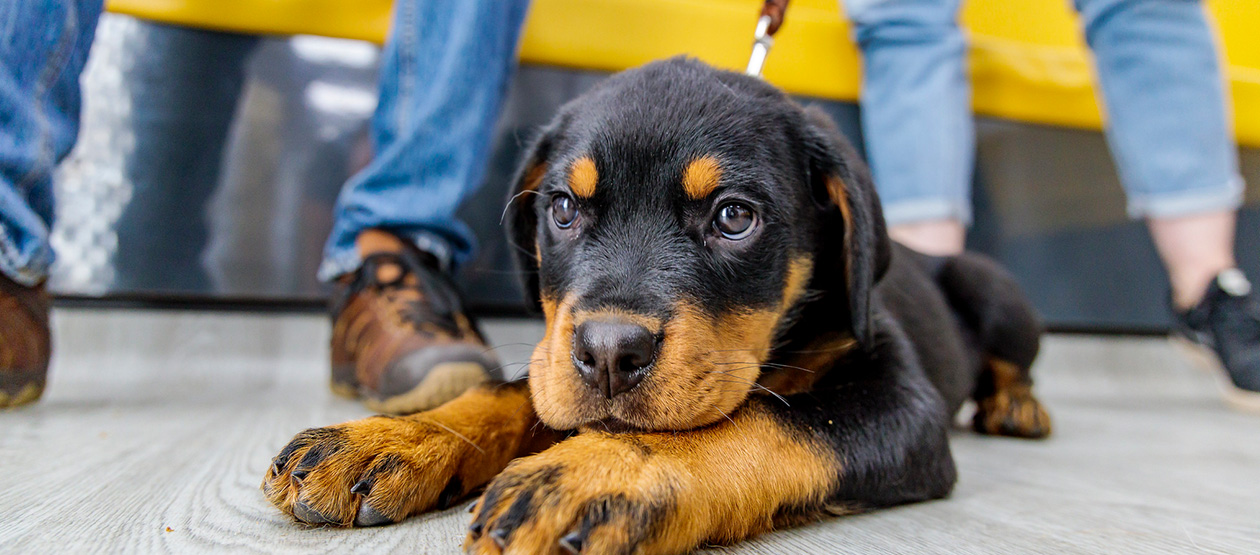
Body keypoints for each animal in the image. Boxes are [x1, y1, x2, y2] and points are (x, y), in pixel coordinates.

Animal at [260, 58, 1048, 552]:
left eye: (734, 217)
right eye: (564, 209)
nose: (610, 353)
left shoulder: (900, 398)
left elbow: (764, 419)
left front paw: (599, 474)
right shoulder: (557, 360)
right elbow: (513, 391)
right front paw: (395, 436)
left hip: (993, 287)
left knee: (1012, 359)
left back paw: (1018, 405)